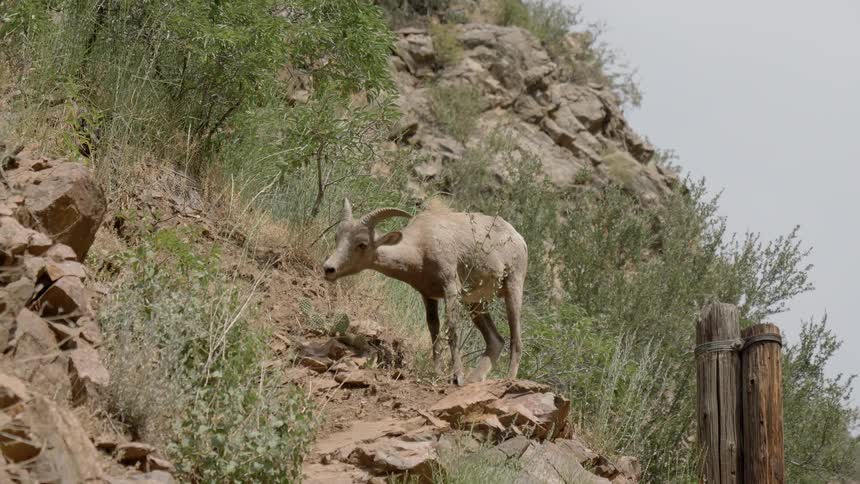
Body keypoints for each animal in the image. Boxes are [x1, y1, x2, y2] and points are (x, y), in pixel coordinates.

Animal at [322, 199, 528, 385]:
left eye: (362, 244)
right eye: (337, 238)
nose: (329, 269)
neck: (421, 248)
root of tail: (519, 238)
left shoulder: (451, 288)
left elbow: (452, 330)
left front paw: (457, 378)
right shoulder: (428, 296)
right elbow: (434, 331)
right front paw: (437, 372)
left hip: (513, 289)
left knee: (516, 340)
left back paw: (508, 380)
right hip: (475, 303)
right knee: (495, 340)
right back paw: (474, 379)